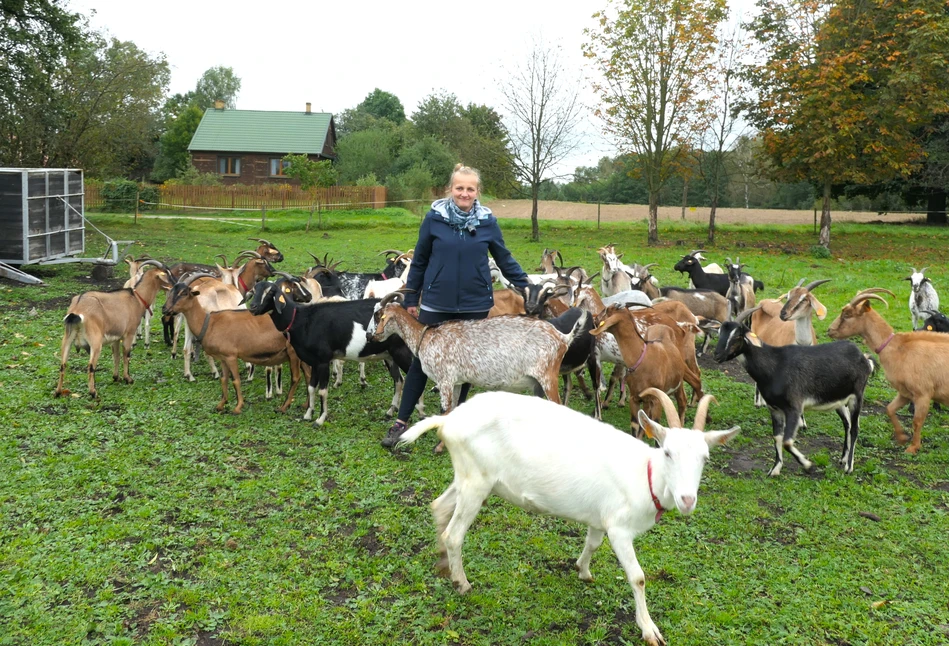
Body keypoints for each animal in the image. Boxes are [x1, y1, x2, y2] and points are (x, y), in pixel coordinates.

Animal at [396, 392, 736, 646]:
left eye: (705, 458)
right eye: (667, 452)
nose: (687, 500)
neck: (646, 475)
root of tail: (448, 420)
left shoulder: (599, 519)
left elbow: (592, 543)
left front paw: (582, 571)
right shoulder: (619, 528)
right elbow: (638, 576)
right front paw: (649, 630)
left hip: (470, 478)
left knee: (439, 506)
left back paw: (443, 563)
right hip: (476, 481)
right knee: (454, 533)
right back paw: (462, 582)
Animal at [712, 322, 872, 478]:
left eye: (737, 335)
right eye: (719, 332)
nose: (717, 355)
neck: (774, 366)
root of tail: (863, 356)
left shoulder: (794, 408)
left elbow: (787, 442)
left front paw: (807, 465)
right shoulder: (774, 409)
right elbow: (777, 437)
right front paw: (775, 469)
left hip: (857, 396)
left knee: (855, 429)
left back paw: (848, 467)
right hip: (839, 400)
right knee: (847, 424)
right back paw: (843, 458)